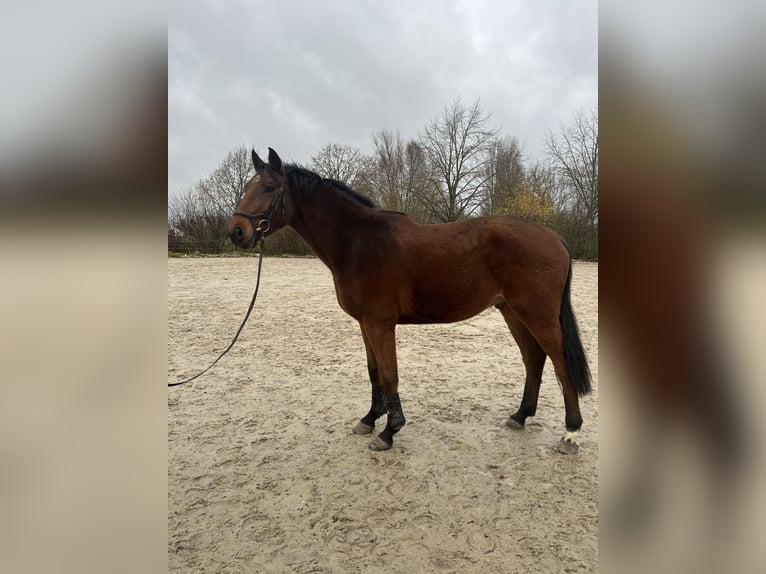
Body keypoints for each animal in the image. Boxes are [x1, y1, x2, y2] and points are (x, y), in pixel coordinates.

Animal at [228, 148, 592, 454]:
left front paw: (389, 432)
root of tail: (555, 238)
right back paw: (520, 416)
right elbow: (374, 372)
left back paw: (571, 433)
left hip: (538, 314)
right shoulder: (365, 324)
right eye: (247, 186)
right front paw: (369, 419)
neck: (359, 242)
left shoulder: (380, 324)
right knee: (533, 358)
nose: (236, 231)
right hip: (513, 311)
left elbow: (390, 375)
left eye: (270, 187)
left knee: (560, 363)